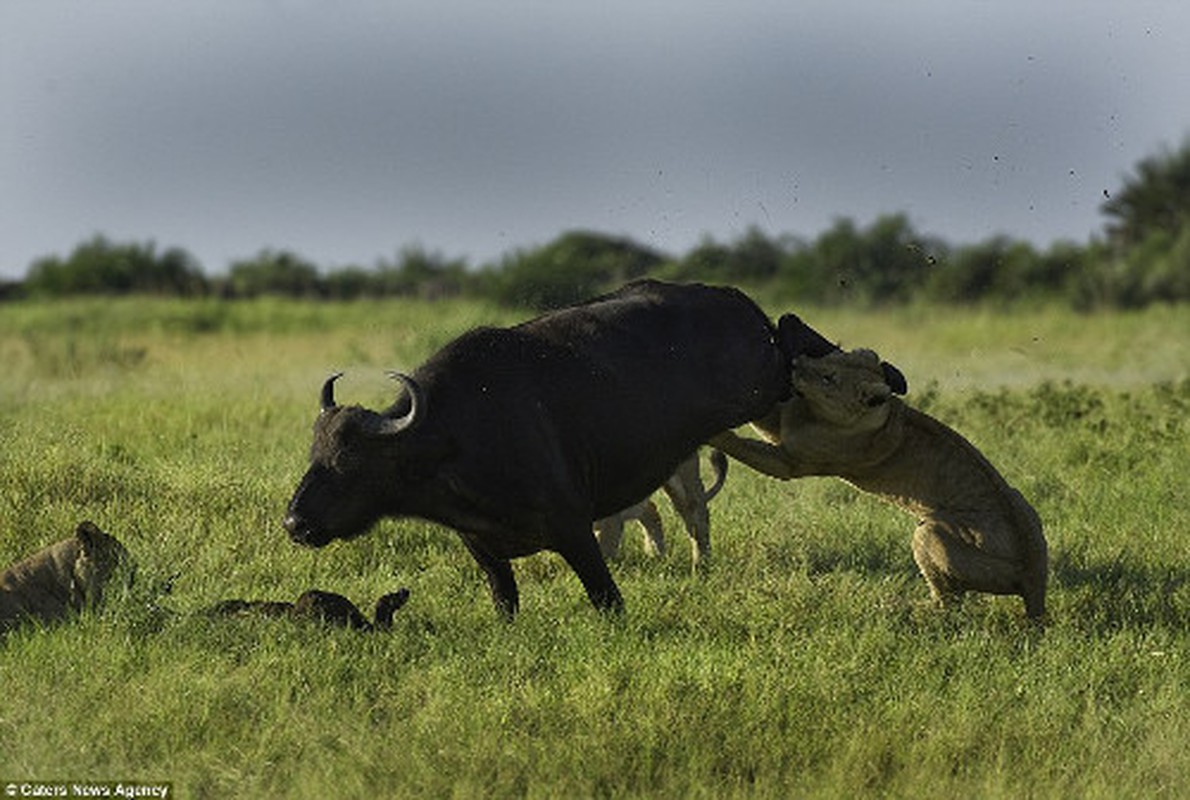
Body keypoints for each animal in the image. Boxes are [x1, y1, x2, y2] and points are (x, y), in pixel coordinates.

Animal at [279, 278, 837, 614]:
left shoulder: (574, 527)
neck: (457, 438)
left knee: (790, 339)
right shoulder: (483, 547)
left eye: (349, 462)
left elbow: (607, 596)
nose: (294, 522)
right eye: (314, 456)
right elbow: (506, 601)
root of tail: (733, 299)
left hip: (763, 384)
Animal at [709, 347, 1047, 619]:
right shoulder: (784, 422)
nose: (796, 362)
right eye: (829, 356)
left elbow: (744, 446)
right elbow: (761, 411)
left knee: (948, 600)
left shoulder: (791, 461)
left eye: (828, 378)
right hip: (1021, 502)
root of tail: (1035, 580)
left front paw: (716, 434)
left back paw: (906, 608)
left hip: (931, 533)